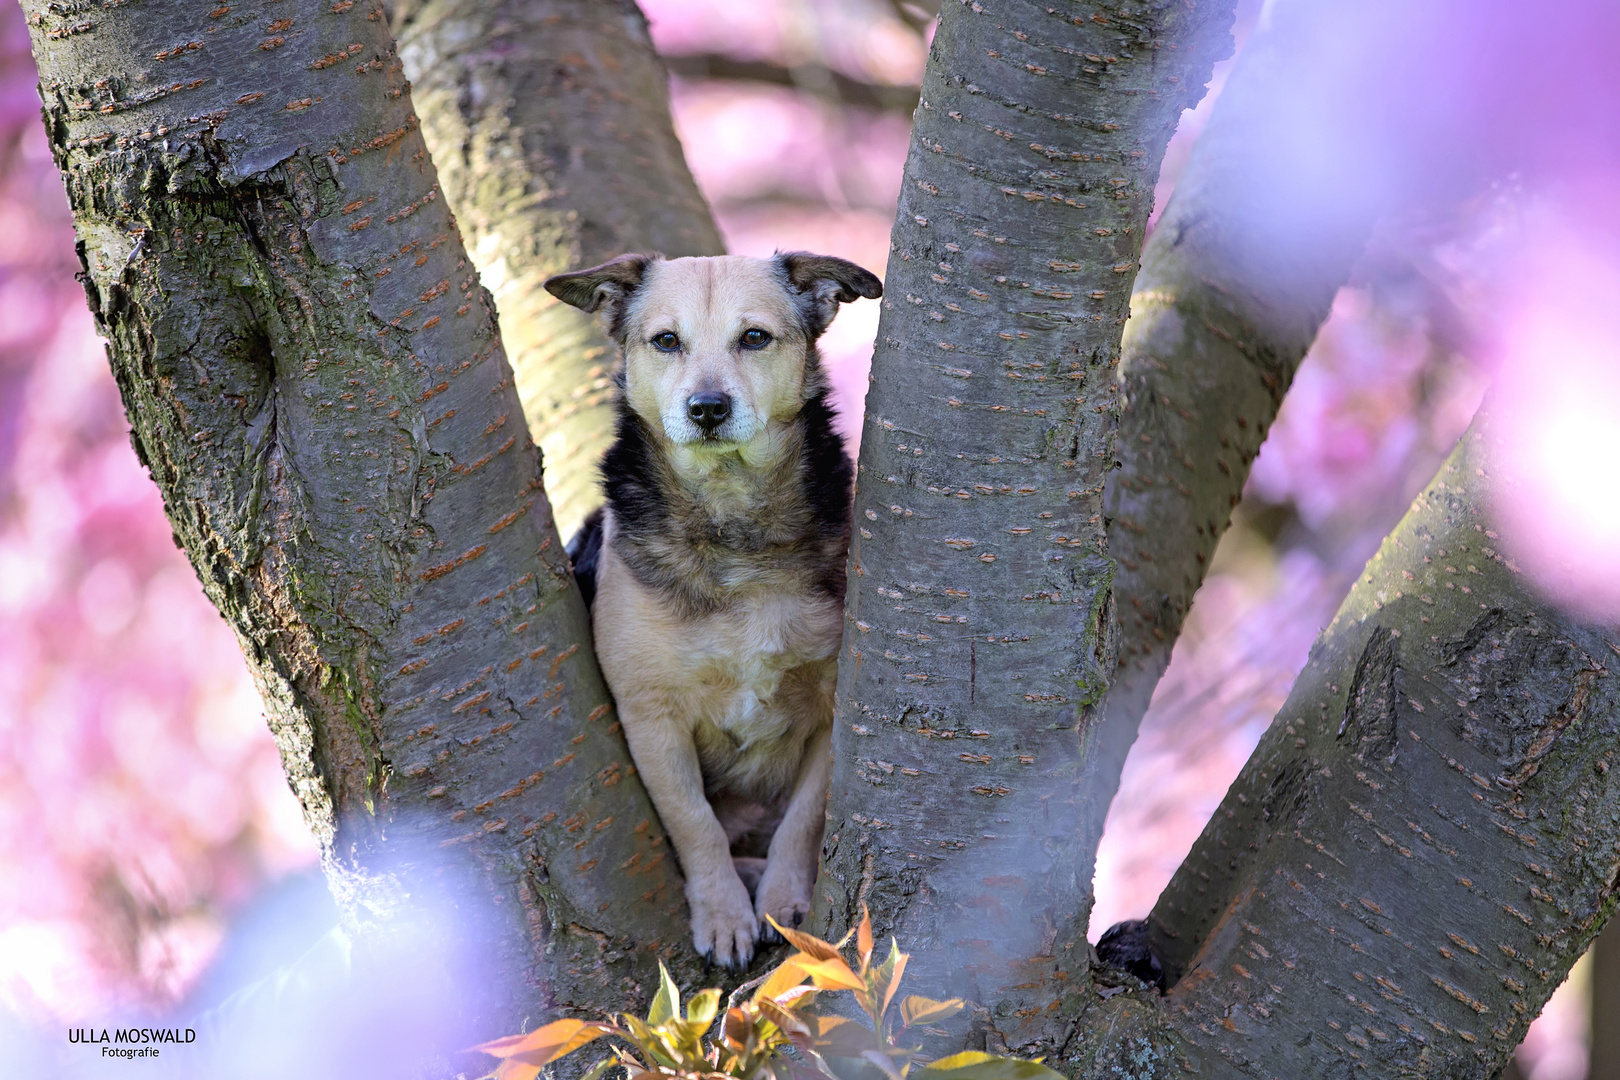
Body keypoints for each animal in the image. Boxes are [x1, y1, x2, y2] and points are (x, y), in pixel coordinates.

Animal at [544, 255, 881, 971]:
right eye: (666, 340)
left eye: (754, 337)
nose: (706, 409)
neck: (732, 521)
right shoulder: (651, 716)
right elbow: (694, 821)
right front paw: (725, 916)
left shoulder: (833, 710)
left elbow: (805, 818)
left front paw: (784, 903)